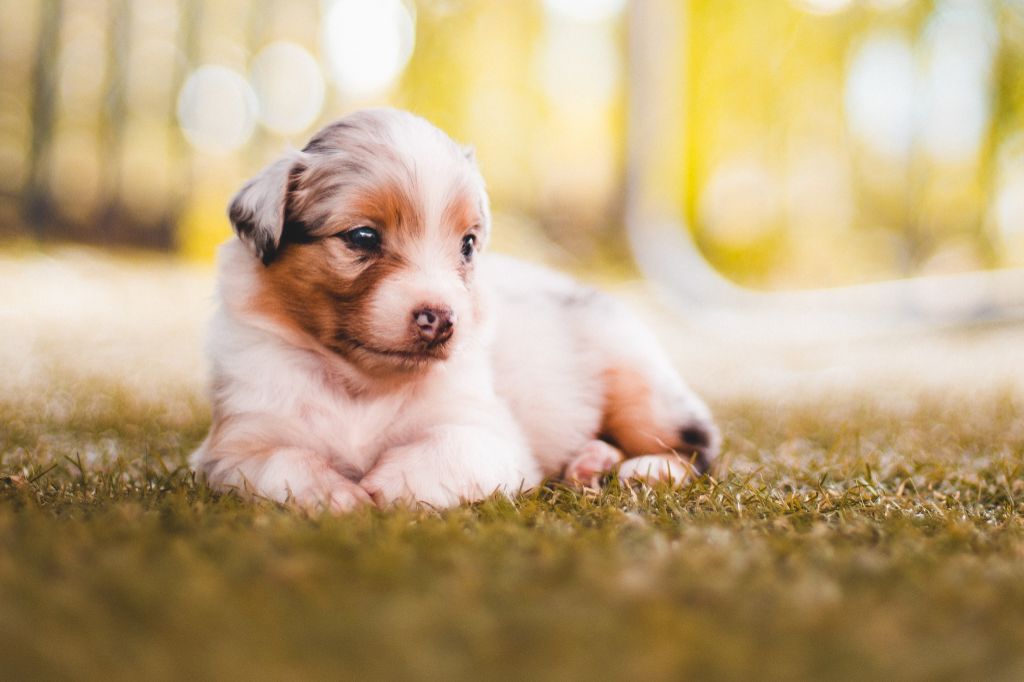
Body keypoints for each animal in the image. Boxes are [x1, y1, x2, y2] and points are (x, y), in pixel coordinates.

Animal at [190, 108, 720, 510]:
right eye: (362, 236)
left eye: (467, 244)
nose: (442, 320)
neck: (361, 387)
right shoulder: (234, 441)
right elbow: (278, 461)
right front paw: (336, 495)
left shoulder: (490, 435)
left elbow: (447, 448)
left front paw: (383, 486)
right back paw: (591, 461)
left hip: (638, 384)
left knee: (698, 446)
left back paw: (641, 467)